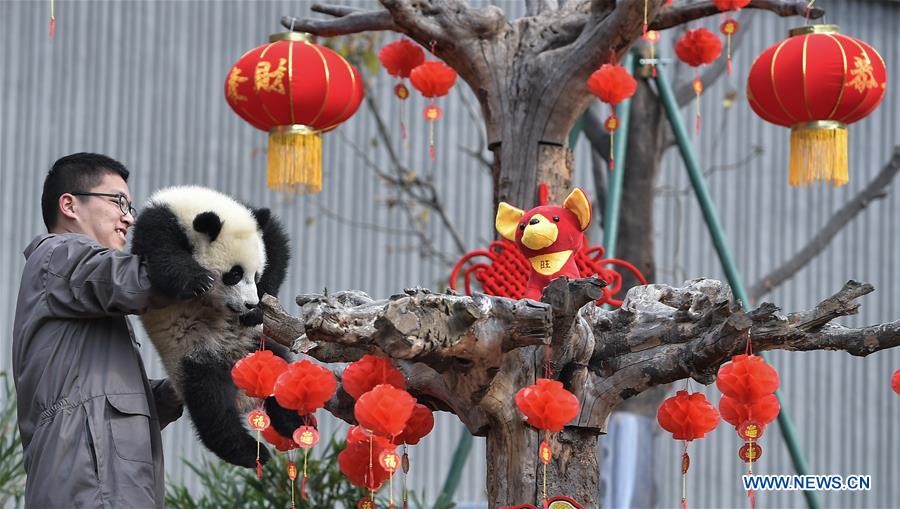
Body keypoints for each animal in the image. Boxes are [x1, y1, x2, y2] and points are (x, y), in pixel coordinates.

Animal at [130, 186, 301, 468]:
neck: (190, 204)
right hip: (195, 356)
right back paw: (249, 451)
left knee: (281, 376)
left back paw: (292, 423)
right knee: (212, 407)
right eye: (234, 274)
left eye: (255, 275)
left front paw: (257, 310)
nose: (249, 304)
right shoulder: (157, 226)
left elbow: (278, 247)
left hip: (257, 345)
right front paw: (197, 280)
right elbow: (162, 258)